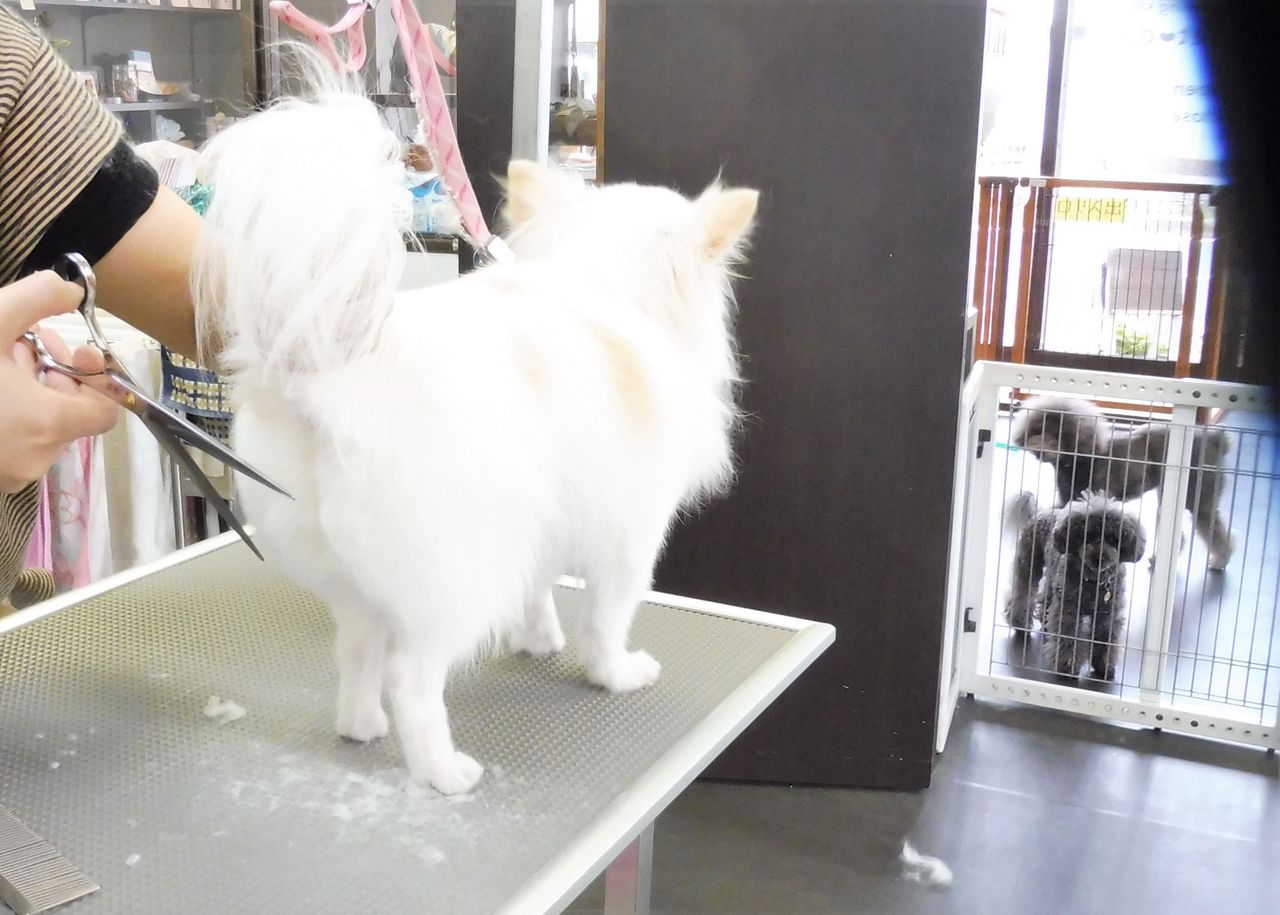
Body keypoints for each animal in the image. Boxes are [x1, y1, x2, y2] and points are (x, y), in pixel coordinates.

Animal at [192, 65, 758, 794]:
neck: (602, 279)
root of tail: (327, 379)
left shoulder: (547, 516)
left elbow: (539, 588)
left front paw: (539, 639)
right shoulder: (631, 533)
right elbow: (607, 619)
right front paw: (615, 673)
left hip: (355, 578)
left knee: (357, 652)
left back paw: (360, 725)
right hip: (459, 577)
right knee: (410, 677)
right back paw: (443, 771)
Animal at [1004, 491, 1145, 680]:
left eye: (1112, 538)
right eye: (1088, 535)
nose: (1099, 557)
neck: (1093, 580)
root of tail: (1040, 513)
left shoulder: (1108, 615)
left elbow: (1106, 639)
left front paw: (1104, 667)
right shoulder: (1068, 611)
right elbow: (1067, 638)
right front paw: (1067, 666)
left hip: (1053, 576)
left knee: (1046, 598)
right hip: (1029, 563)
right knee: (1023, 593)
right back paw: (1020, 623)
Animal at [1012, 395, 1235, 570]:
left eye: (1059, 435)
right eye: (1038, 430)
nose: (1039, 450)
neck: (1079, 460)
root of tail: (1215, 439)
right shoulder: (1066, 500)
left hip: (1198, 496)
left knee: (1215, 530)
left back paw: (1220, 560)